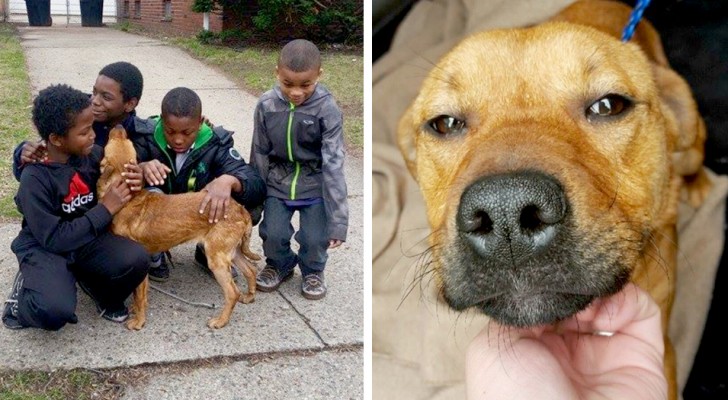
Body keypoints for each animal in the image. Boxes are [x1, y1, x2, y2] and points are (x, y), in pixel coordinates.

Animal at [96, 126, 260, 330]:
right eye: (129, 143)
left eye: (113, 142)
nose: (118, 126)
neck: (128, 198)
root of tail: (240, 209)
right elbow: (137, 296)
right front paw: (135, 310)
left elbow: (140, 297)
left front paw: (139, 322)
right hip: (232, 252)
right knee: (251, 271)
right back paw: (250, 297)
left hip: (216, 258)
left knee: (232, 292)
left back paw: (220, 321)